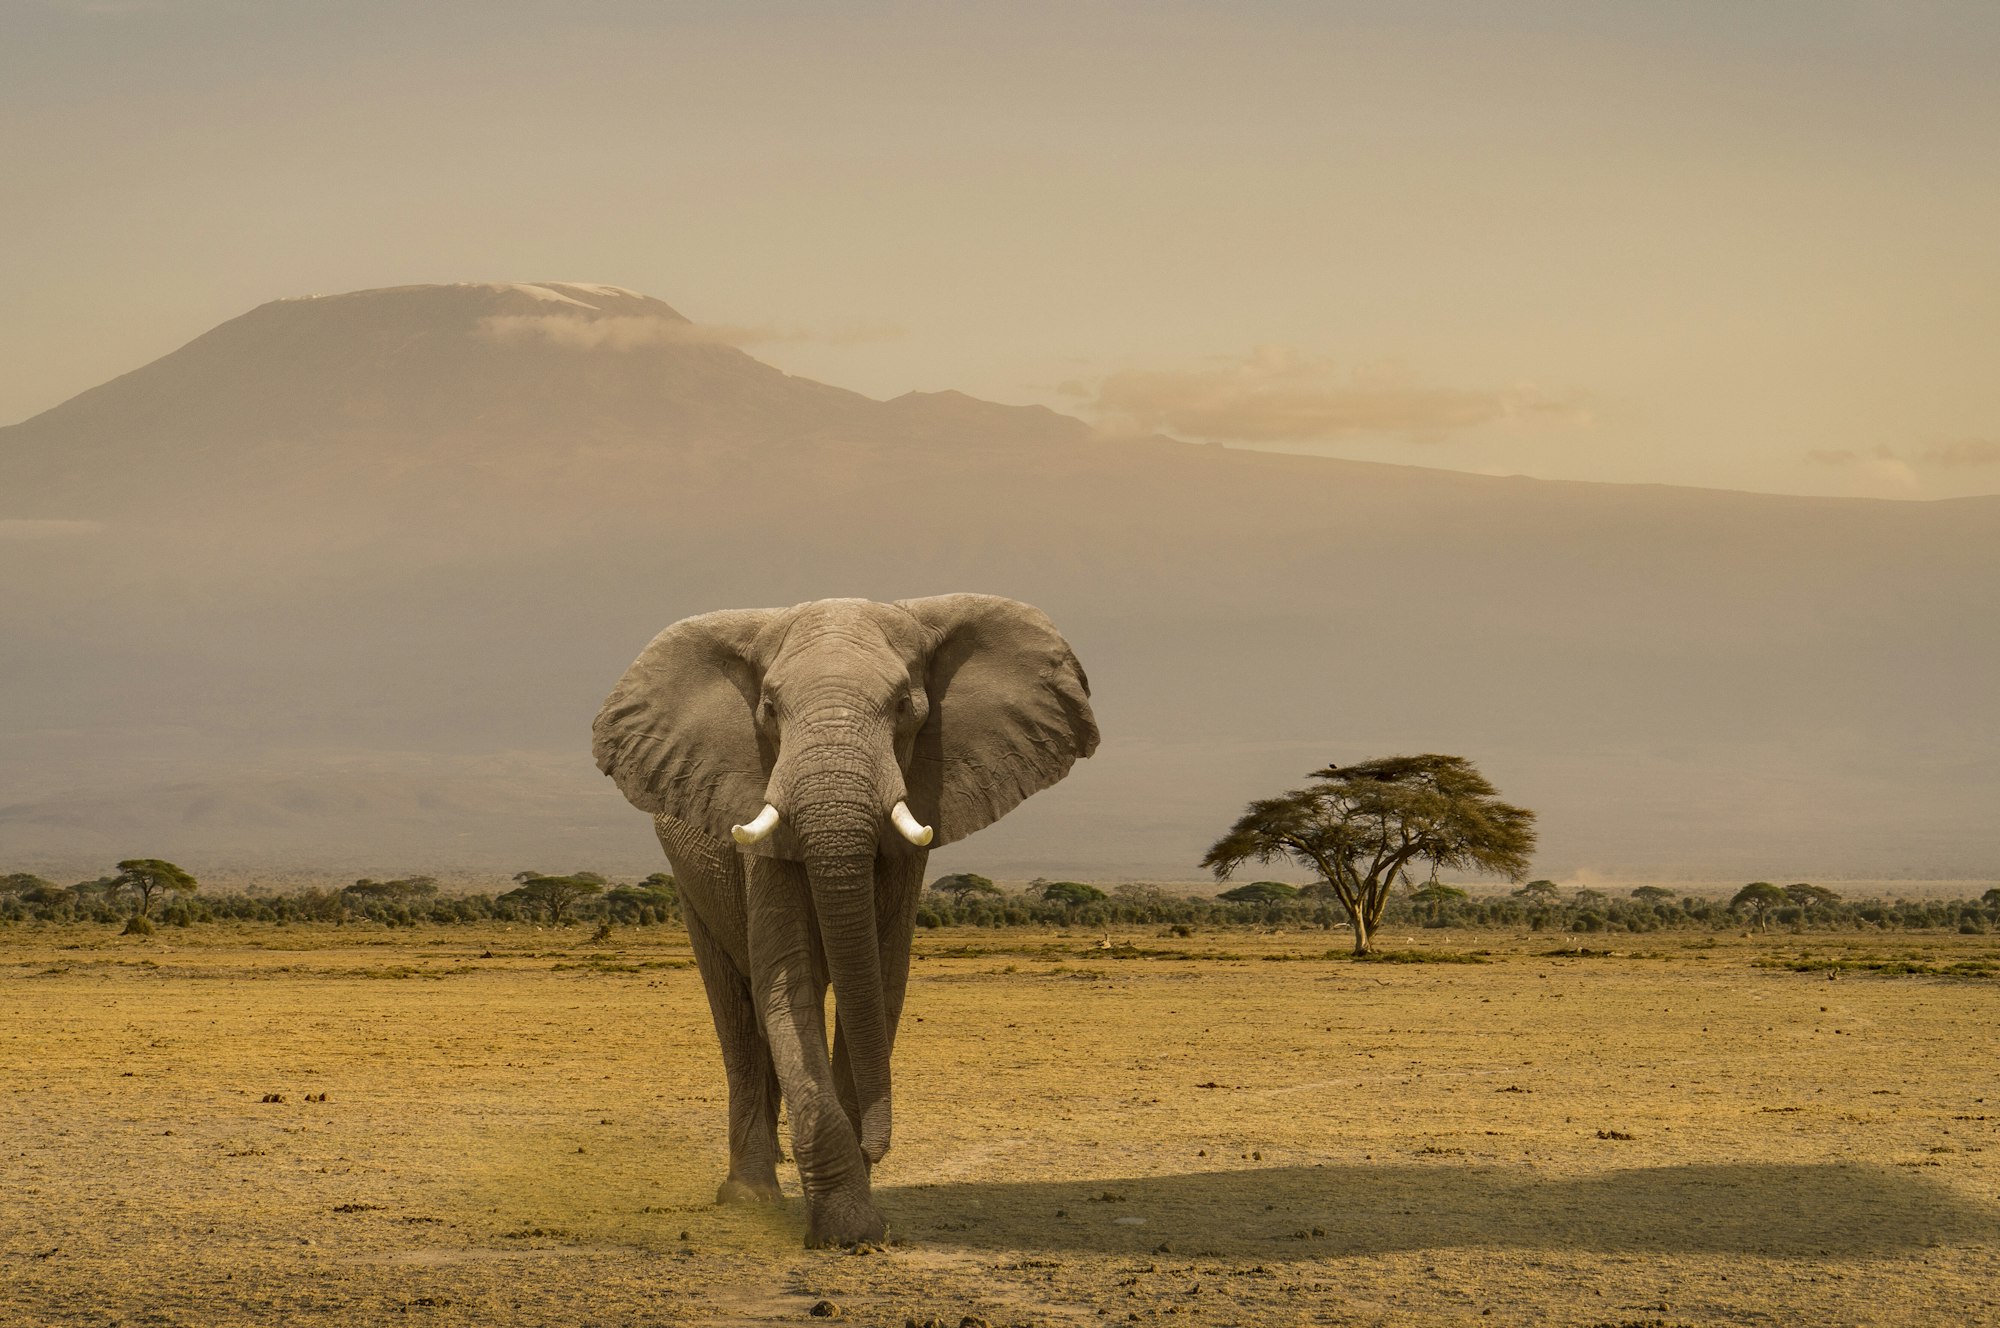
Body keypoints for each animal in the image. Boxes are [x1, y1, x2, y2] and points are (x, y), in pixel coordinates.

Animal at [584, 592, 1104, 1248]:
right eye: (769, 710)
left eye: (905, 706)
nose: (877, 1148)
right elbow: (789, 985)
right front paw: (847, 1231)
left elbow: (879, 982)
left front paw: (858, 1216)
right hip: (688, 882)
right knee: (739, 1014)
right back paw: (750, 1197)